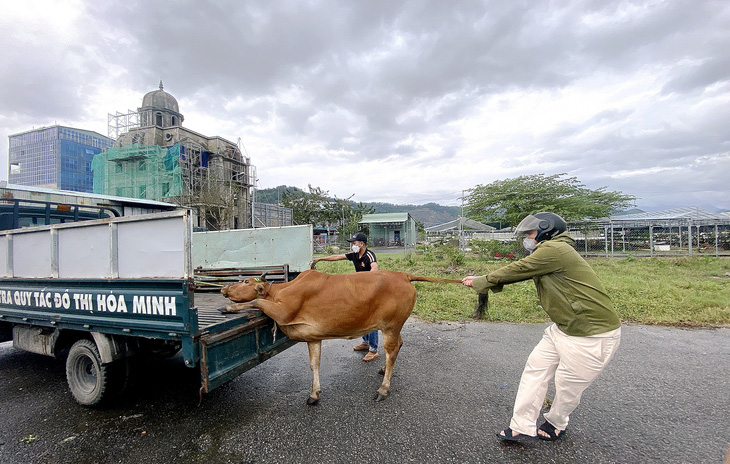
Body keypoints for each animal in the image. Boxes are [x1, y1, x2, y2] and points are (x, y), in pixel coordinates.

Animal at [216, 270, 458, 404]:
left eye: (246, 282)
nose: (225, 287)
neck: (281, 291)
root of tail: (402, 275)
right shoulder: (313, 337)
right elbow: (314, 365)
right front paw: (314, 394)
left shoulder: (283, 312)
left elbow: (256, 301)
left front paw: (228, 307)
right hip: (394, 327)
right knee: (398, 345)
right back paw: (382, 371)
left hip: (391, 326)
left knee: (391, 351)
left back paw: (383, 389)